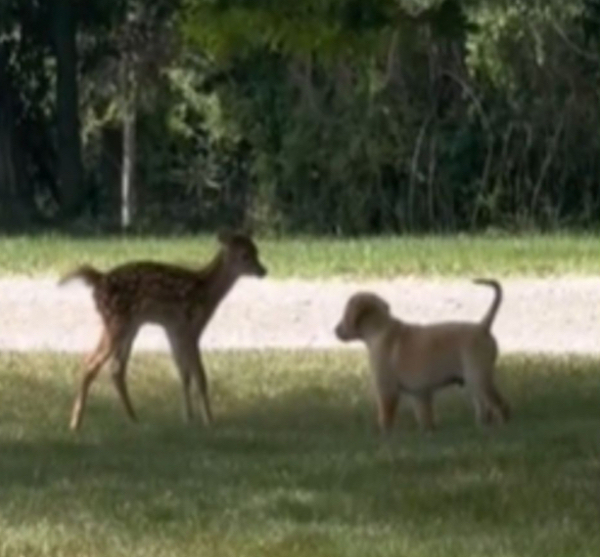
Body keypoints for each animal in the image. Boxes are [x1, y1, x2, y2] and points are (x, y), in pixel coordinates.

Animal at [336, 280, 508, 432]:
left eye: (345, 315)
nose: (335, 330)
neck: (381, 328)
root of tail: (483, 327)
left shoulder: (387, 390)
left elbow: (386, 418)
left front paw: (385, 435)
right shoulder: (420, 394)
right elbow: (425, 418)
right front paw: (428, 433)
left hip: (478, 377)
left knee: (500, 405)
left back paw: (502, 428)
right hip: (472, 382)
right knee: (484, 407)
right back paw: (482, 427)